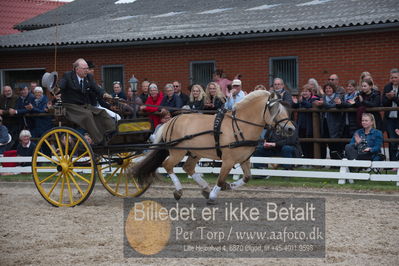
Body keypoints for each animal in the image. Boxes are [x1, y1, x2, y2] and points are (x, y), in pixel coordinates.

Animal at [130, 90, 296, 205]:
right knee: (168, 165)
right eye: (276, 110)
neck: (240, 125)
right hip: (178, 152)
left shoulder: (244, 159)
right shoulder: (228, 160)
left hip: (195, 153)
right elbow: (221, 179)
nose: (291, 129)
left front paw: (229, 186)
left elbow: (247, 177)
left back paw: (204, 188)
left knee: (187, 167)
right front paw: (213, 196)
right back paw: (179, 191)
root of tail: (172, 120)